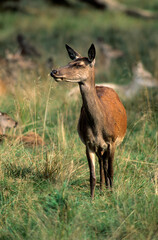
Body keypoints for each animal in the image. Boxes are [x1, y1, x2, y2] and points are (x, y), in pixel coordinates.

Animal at [50, 44, 127, 198]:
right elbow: (92, 176)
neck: (98, 126)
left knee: (106, 166)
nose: (54, 71)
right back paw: (102, 188)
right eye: (69, 62)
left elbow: (111, 171)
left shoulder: (112, 141)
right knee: (101, 164)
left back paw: (107, 189)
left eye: (79, 65)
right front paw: (92, 198)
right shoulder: (88, 143)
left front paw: (111, 195)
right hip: (99, 147)